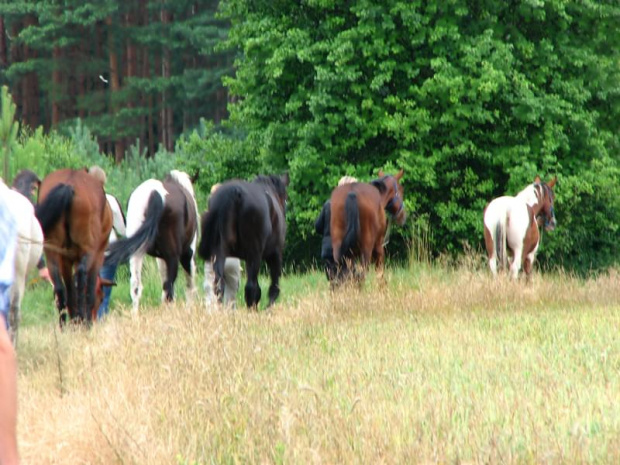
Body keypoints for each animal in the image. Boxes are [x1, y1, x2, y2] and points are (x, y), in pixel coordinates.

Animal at [35, 169, 114, 324]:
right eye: (101, 298)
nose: (94, 319)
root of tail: (69, 185)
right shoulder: (97, 256)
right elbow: (89, 289)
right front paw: (84, 318)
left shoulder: (65, 259)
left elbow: (70, 291)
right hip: (88, 250)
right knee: (82, 277)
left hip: (53, 251)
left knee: (60, 288)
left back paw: (64, 324)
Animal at [197, 174, 290, 308]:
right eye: (286, 198)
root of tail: (235, 192)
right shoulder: (275, 254)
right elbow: (274, 286)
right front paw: (269, 307)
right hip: (254, 254)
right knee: (251, 286)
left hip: (220, 252)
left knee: (219, 284)